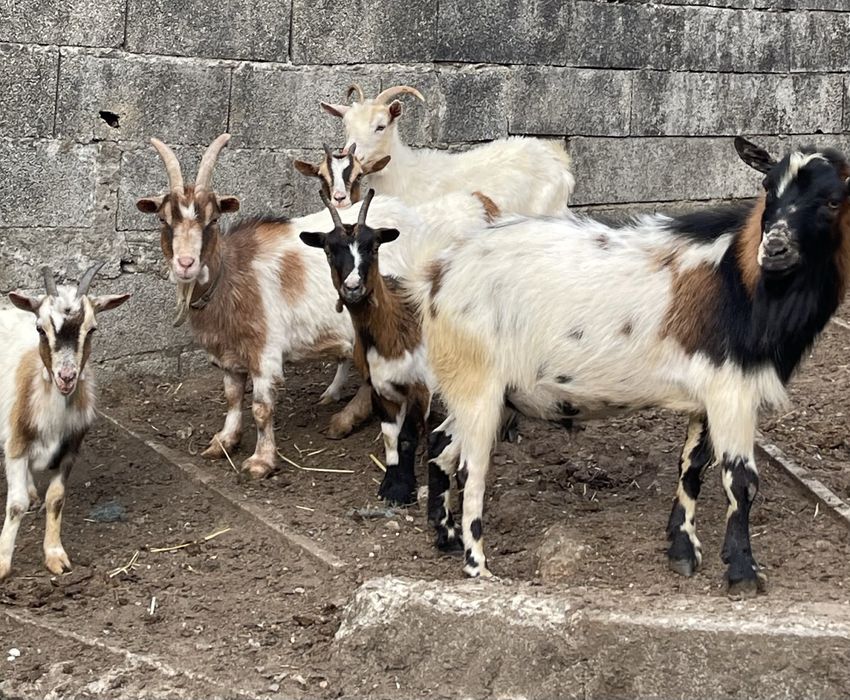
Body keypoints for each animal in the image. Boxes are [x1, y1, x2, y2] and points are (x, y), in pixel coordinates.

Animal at [0, 265, 129, 580]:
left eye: (92, 329)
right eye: (40, 328)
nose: (67, 377)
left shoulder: (70, 449)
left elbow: (56, 498)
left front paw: (55, 555)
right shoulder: (16, 444)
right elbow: (15, 505)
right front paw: (3, 562)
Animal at [136, 134, 497, 480]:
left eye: (212, 221)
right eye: (163, 220)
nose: (185, 263)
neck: (233, 273)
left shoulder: (265, 352)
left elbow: (261, 408)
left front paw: (260, 463)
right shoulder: (228, 354)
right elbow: (232, 397)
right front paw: (223, 441)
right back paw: (348, 417)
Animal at [406, 137, 850, 593]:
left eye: (834, 199)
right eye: (767, 188)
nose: (774, 250)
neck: (741, 284)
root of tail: (437, 276)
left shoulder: (708, 393)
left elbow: (692, 467)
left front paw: (683, 550)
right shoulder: (733, 392)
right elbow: (740, 480)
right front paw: (744, 572)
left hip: (473, 387)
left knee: (441, 444)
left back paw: (446, 535)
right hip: (478, 384)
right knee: (470, 469)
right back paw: (477, 566)